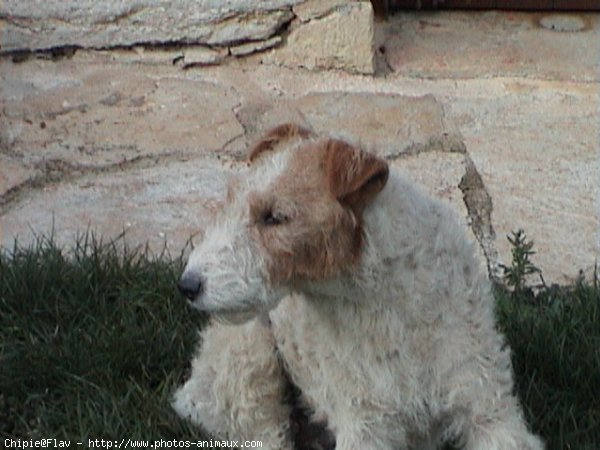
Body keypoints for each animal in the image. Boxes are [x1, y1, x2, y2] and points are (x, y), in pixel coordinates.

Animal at [172, 124, 544, 450]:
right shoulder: (365, 423)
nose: (187, 285)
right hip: (247, 356)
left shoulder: (488, 408)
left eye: (274, 217)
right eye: (231, 200)